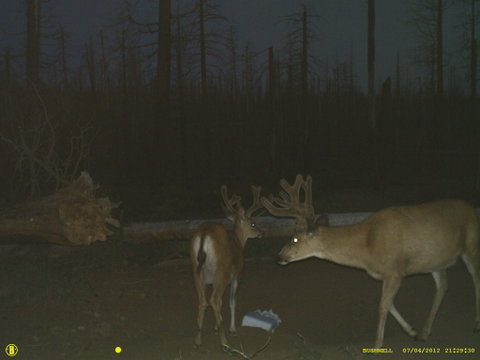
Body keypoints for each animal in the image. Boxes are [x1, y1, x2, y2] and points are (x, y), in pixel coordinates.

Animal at [189, 184, 262, 348]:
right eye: (253, 223)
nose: (261, 233)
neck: (238, 240)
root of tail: (204, 234)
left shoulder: (210, 280)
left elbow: (221, 302)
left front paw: (216, 327)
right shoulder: (237, 275)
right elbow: (231, 302)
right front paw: (231, 329)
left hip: (196, 270)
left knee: (203, 301)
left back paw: (198, 339)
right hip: (221, 270)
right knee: (213, 300)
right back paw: (224, 342)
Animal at [274, 193, 480, 348]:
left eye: (294, 239)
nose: (279, 257)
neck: (367, 247)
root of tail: (472, 209)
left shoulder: (395, 271)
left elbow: (383, 305)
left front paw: (376, 345)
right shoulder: (385, 275)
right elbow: (384, 302)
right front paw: (412, 331)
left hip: (471, 246)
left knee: (476, 280)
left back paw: (475, 325)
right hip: (436, 262)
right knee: (443, 287)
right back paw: (424, 332)